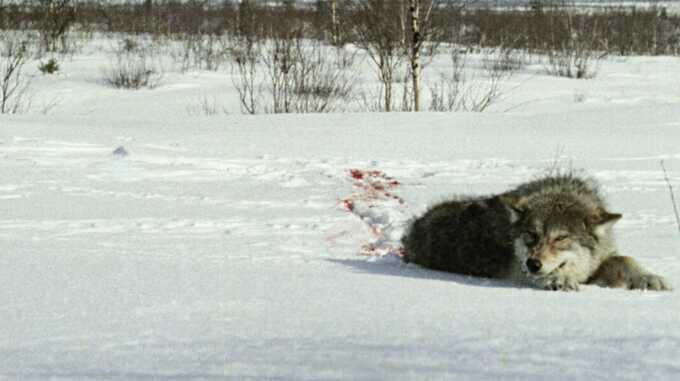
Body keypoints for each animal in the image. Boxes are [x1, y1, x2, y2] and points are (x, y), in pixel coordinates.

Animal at [402, 174, 672, 290]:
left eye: (561, 238)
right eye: (531, 235)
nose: (533, 263)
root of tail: (414, 224)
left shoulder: (600, 261)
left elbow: (625, 259)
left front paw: (648, 278)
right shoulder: (517, 271)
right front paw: (556, 280)